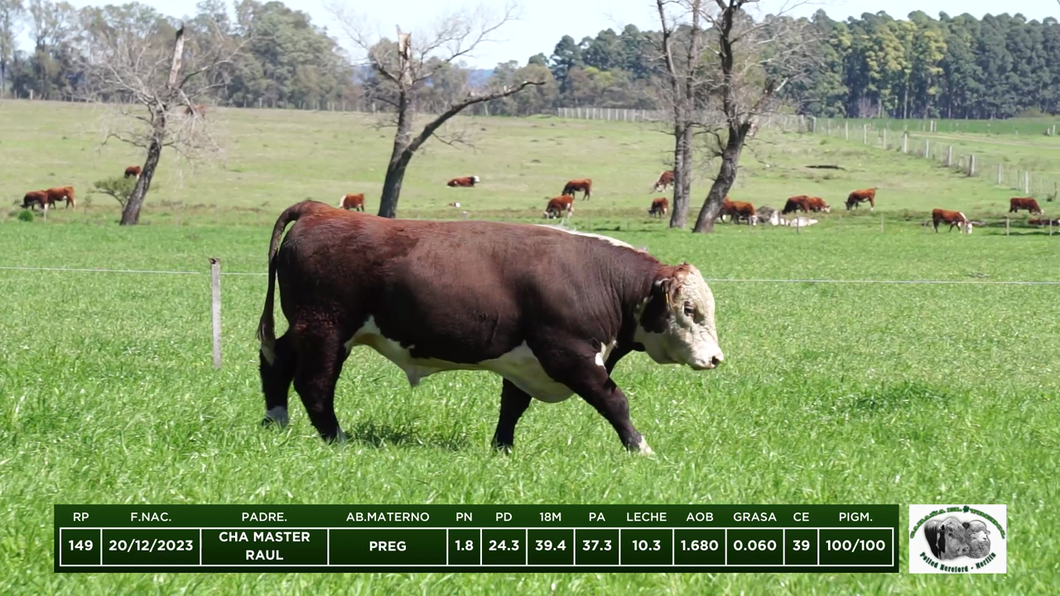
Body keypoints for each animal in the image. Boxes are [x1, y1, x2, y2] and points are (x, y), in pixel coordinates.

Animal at [256, 200, 724, 454]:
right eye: (689, 309)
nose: (716, 358)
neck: (601, 281)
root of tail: (319, 209)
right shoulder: (569, 356)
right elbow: (615, 402)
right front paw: (640, 448)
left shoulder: (526, 361)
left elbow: (512, 407)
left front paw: (502, 449)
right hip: (326, 331)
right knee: (315, 384)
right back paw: (337, 438)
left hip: (305, 330)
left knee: (276, 361)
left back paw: (275, 421)